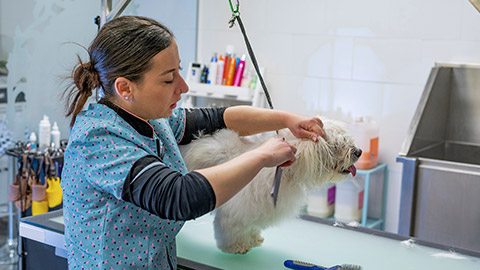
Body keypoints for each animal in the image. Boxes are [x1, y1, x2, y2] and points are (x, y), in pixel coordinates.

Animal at [180, 119, 360, 254]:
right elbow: (231, 230)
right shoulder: (235, 211)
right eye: (337, 145)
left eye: (347, 140)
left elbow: (250, 227)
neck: (285, 169)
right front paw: (236, 246)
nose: (358, 151)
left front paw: (253, 239)